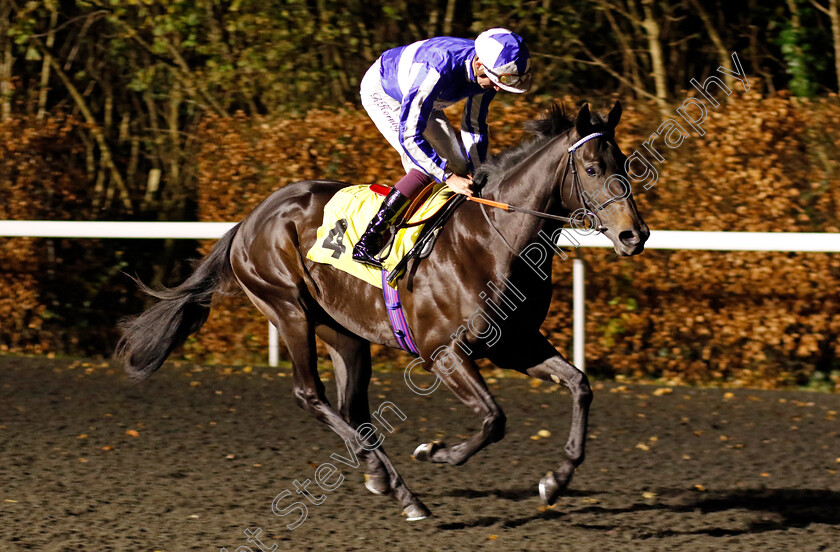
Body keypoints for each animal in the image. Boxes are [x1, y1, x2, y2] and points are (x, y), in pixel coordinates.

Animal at [115, 101, 648, 520]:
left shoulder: (515, 343)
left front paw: (556, 480)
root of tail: (249, 219)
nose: (634, 235)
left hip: (344, 332)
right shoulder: (443, 354)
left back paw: (385, 480)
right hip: (288, 308)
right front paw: (435, 451)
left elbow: (580, 385)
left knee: (353, 408)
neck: (492, 241)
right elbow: (494, 419)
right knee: (310, 396)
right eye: (593, 168)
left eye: (625, 162)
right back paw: (400, 488)